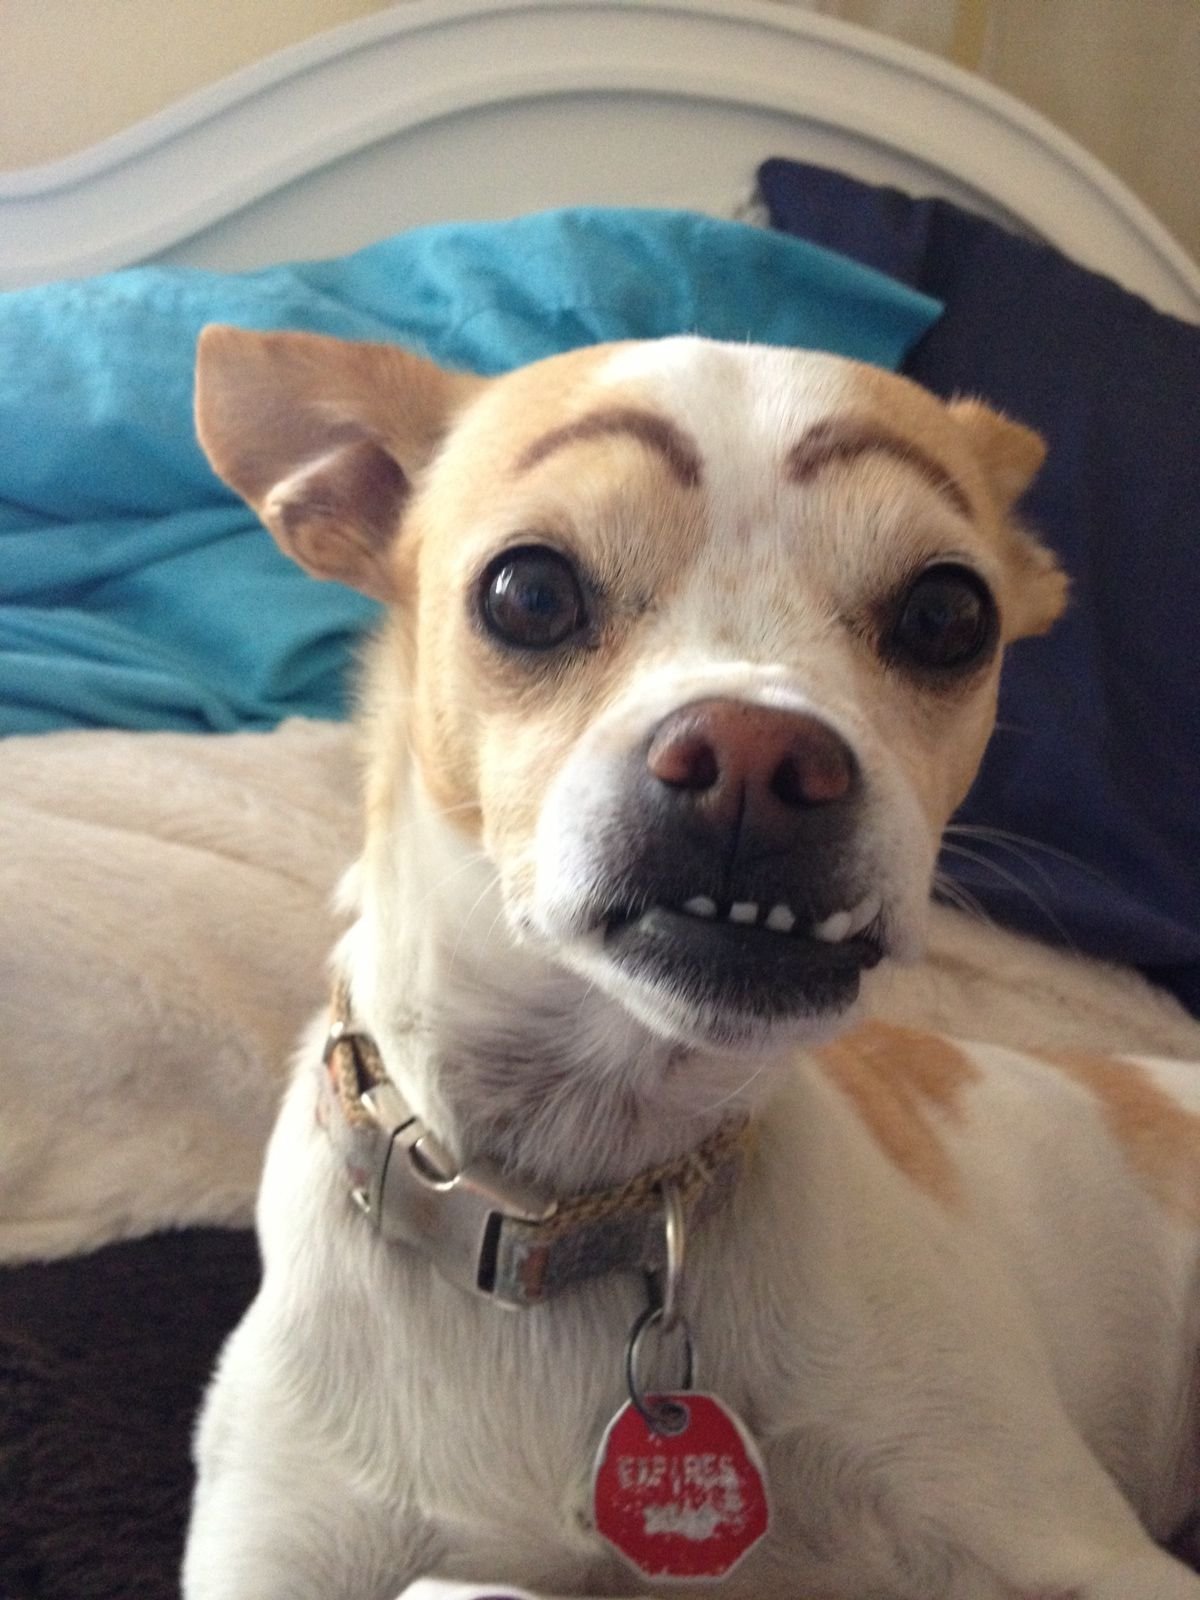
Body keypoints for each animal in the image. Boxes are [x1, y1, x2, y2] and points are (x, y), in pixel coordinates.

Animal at [182, 326, 1200, 1600]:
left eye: (946, 615)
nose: (758, 754)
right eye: (528, 592)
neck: (584, 1191)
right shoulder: (278, 1548)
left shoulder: (1083, 1548)